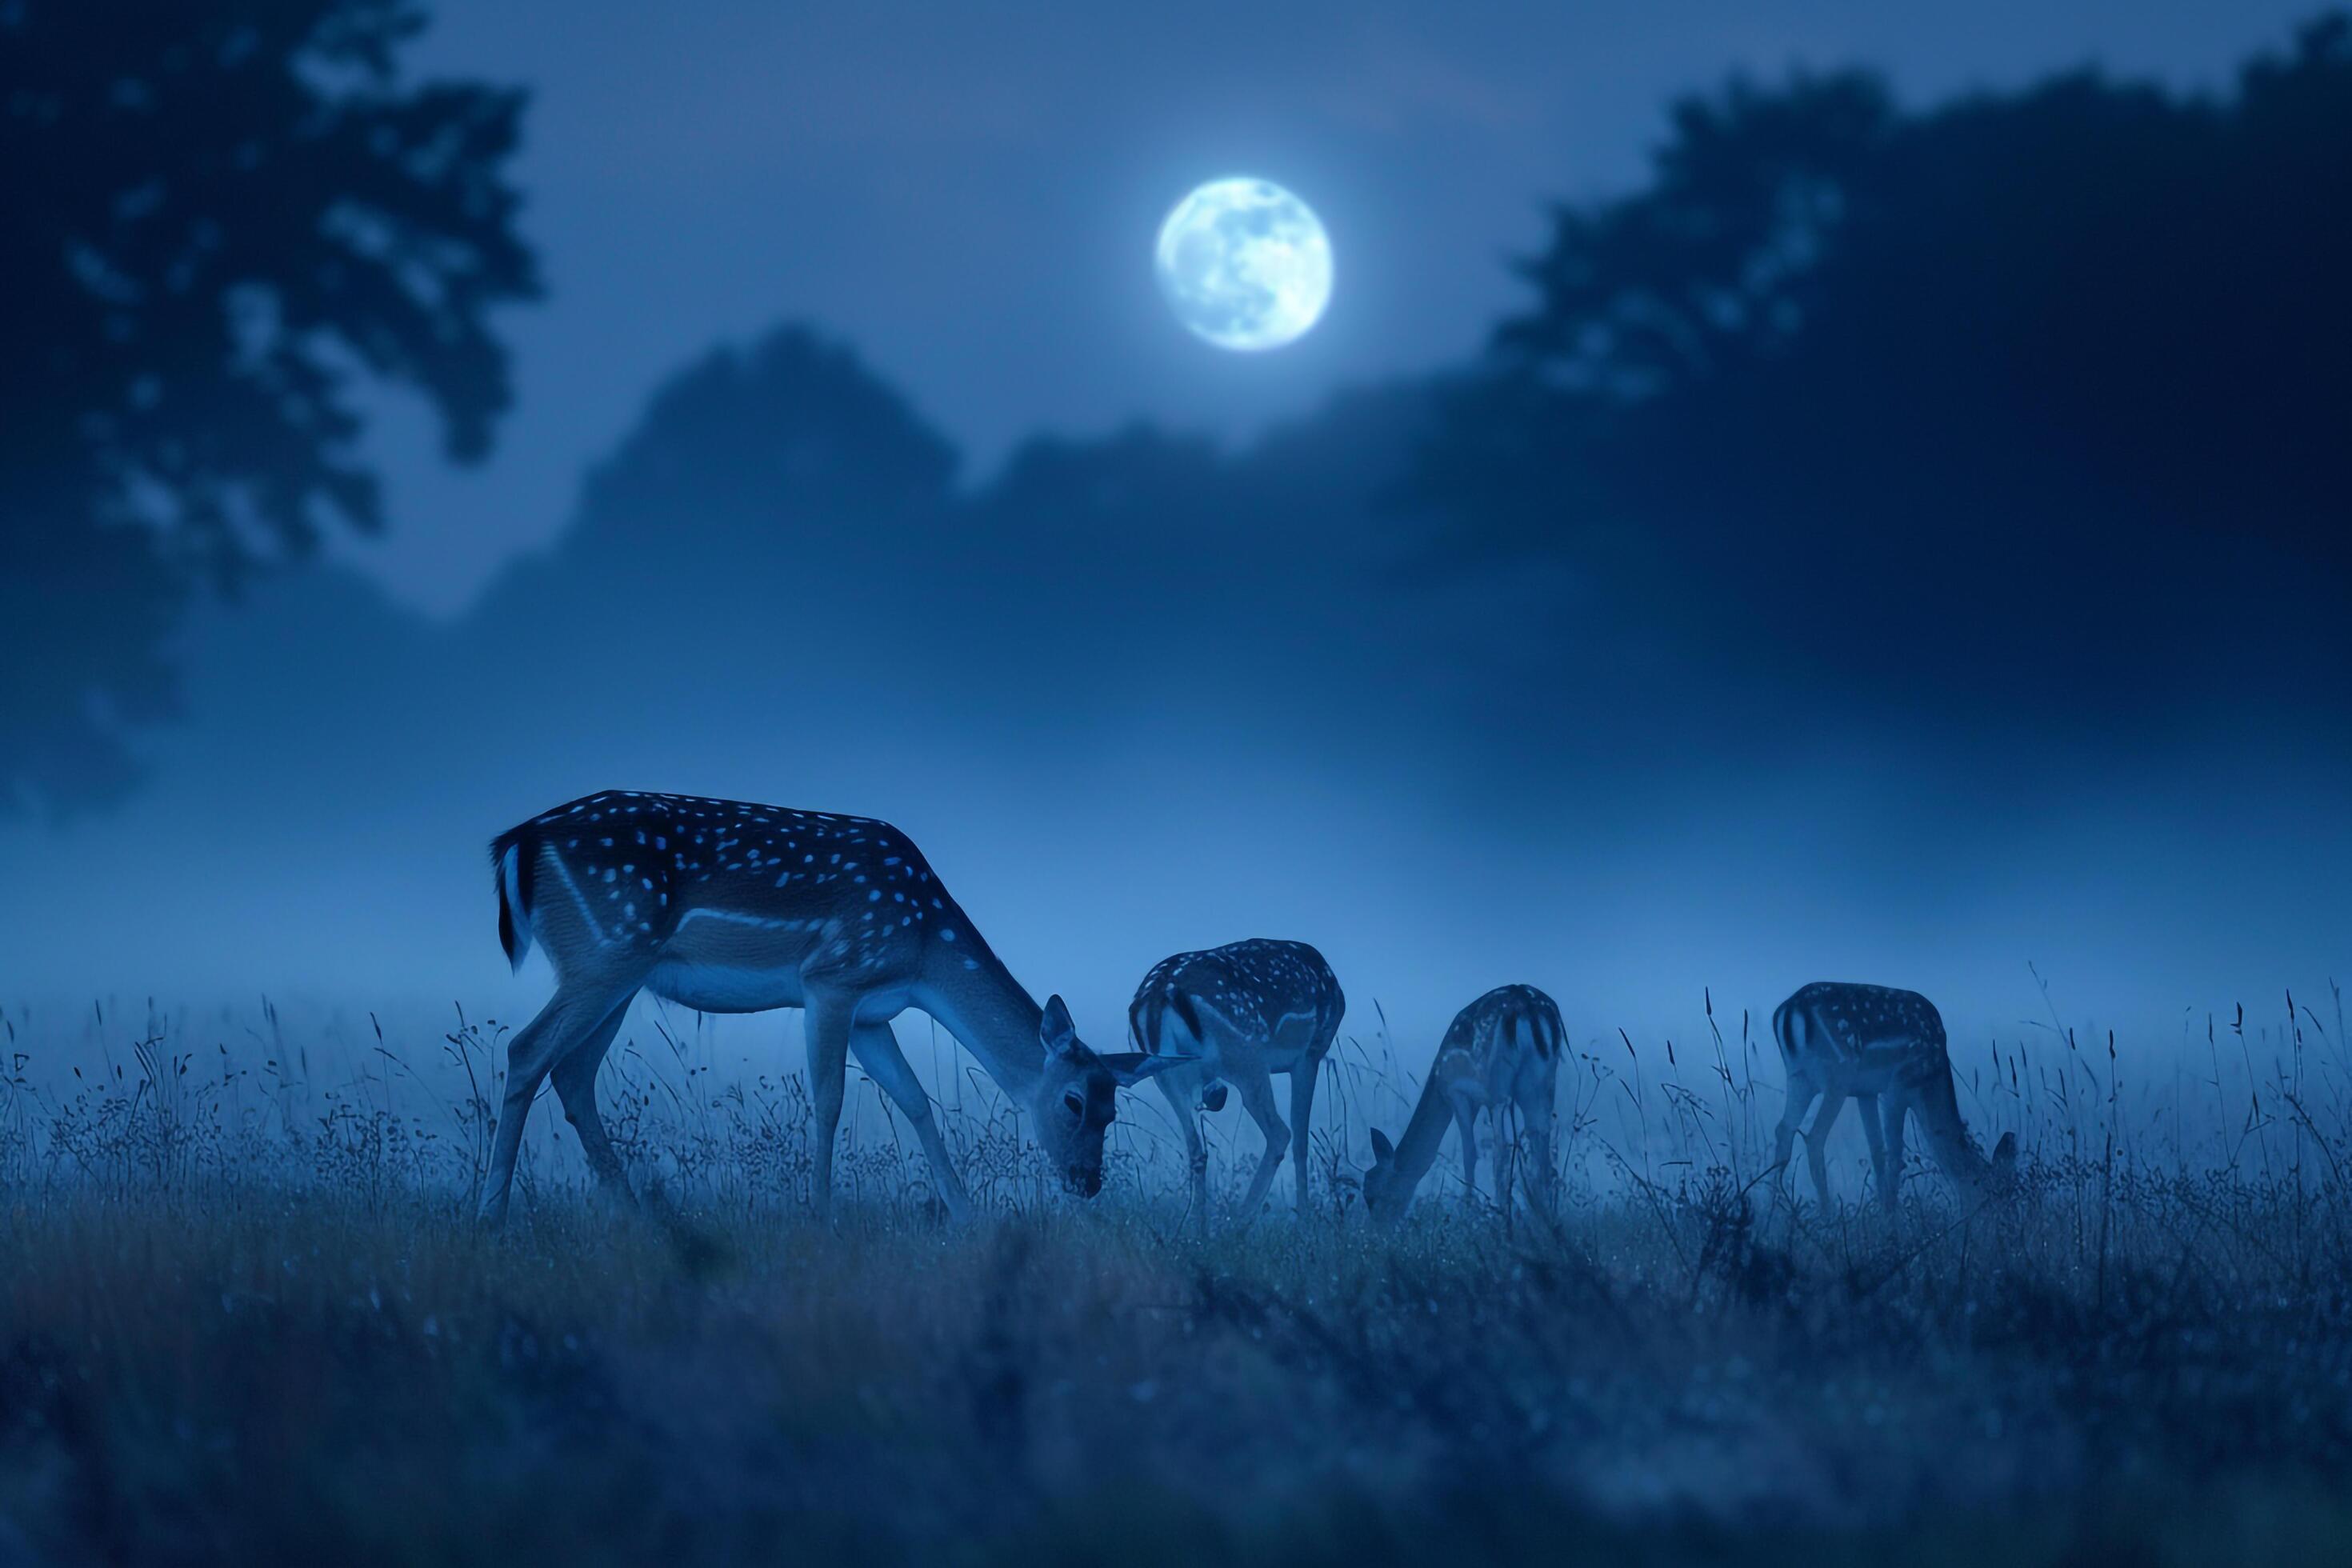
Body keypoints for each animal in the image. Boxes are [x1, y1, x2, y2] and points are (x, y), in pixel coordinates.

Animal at [482, 799, 1176, 1222]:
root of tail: (520, 841)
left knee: (573, 1073)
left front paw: (966, 1214)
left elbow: (915, 1100)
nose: (1087, 1181)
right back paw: (492, 1217)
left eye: (1115, 1110)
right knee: (526, 1049)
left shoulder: (873, 1011)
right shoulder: (832, 979)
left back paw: (641, 1215)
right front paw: (820, 1214)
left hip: (620, 975)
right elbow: (831, 1099)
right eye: (1074, 1102)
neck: (922, 955)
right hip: (605, 952)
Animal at [1134, 945, 1354, 1222]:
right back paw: (1239, 1221)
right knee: (1281, 1132)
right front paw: (1305, 1218)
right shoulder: (1310, 1053)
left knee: (1197, 1149)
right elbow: (1301, 1140)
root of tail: (1161, 995)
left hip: (1167, 1075)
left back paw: (1195, 1225)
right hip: (1249, 1056)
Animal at [1364, 982, 1562, 1222]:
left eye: (1371, 1195)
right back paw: (1546, 1214)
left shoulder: (1457, 1093)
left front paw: (1469, 1210)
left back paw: (1505, 1212)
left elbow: (1469, 1153)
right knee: (1541, 1145)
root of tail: (1527, 1006)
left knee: (1502, 1150)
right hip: (1542, 1082)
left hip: (1497, 1085)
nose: (1377, 1227)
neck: (1437, 1083)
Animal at [1768, 982, 2013, 1213]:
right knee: (1815, 1136)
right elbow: (1895, 1157)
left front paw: (1884, 1210)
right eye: (1993, 1195)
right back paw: (1828, 1214)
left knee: (1784, 1130)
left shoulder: (1866, 1092)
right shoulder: (1898, 1084)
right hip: (1837, 1075)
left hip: (1800, 1078)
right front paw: (1891, 1216)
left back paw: (1779, 1211)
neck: (1930, 1079)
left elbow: (1877, 1152)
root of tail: (1785, 1011)